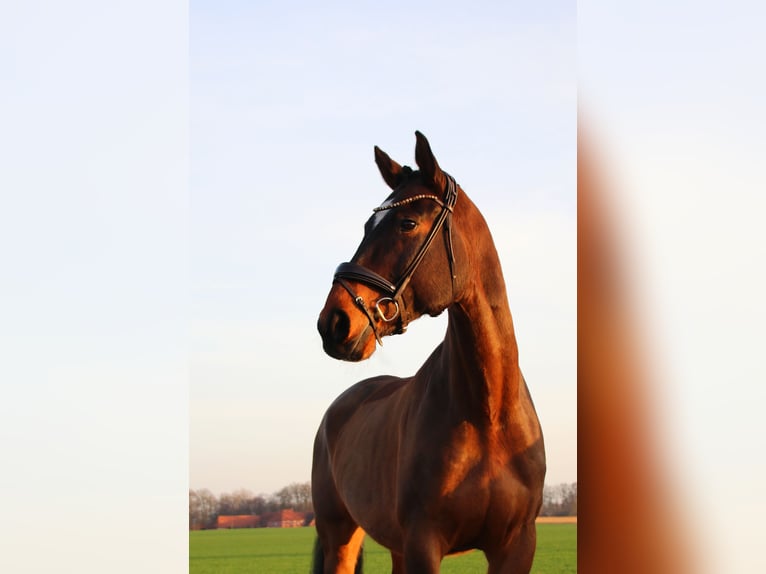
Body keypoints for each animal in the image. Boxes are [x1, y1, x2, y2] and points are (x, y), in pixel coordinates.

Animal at [312, 131, 546, 573]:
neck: (488, 413)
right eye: (367, 225)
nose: (334, 322)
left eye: (407, 223)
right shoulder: (424, 541)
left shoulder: (516, 546)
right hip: (341, 538)